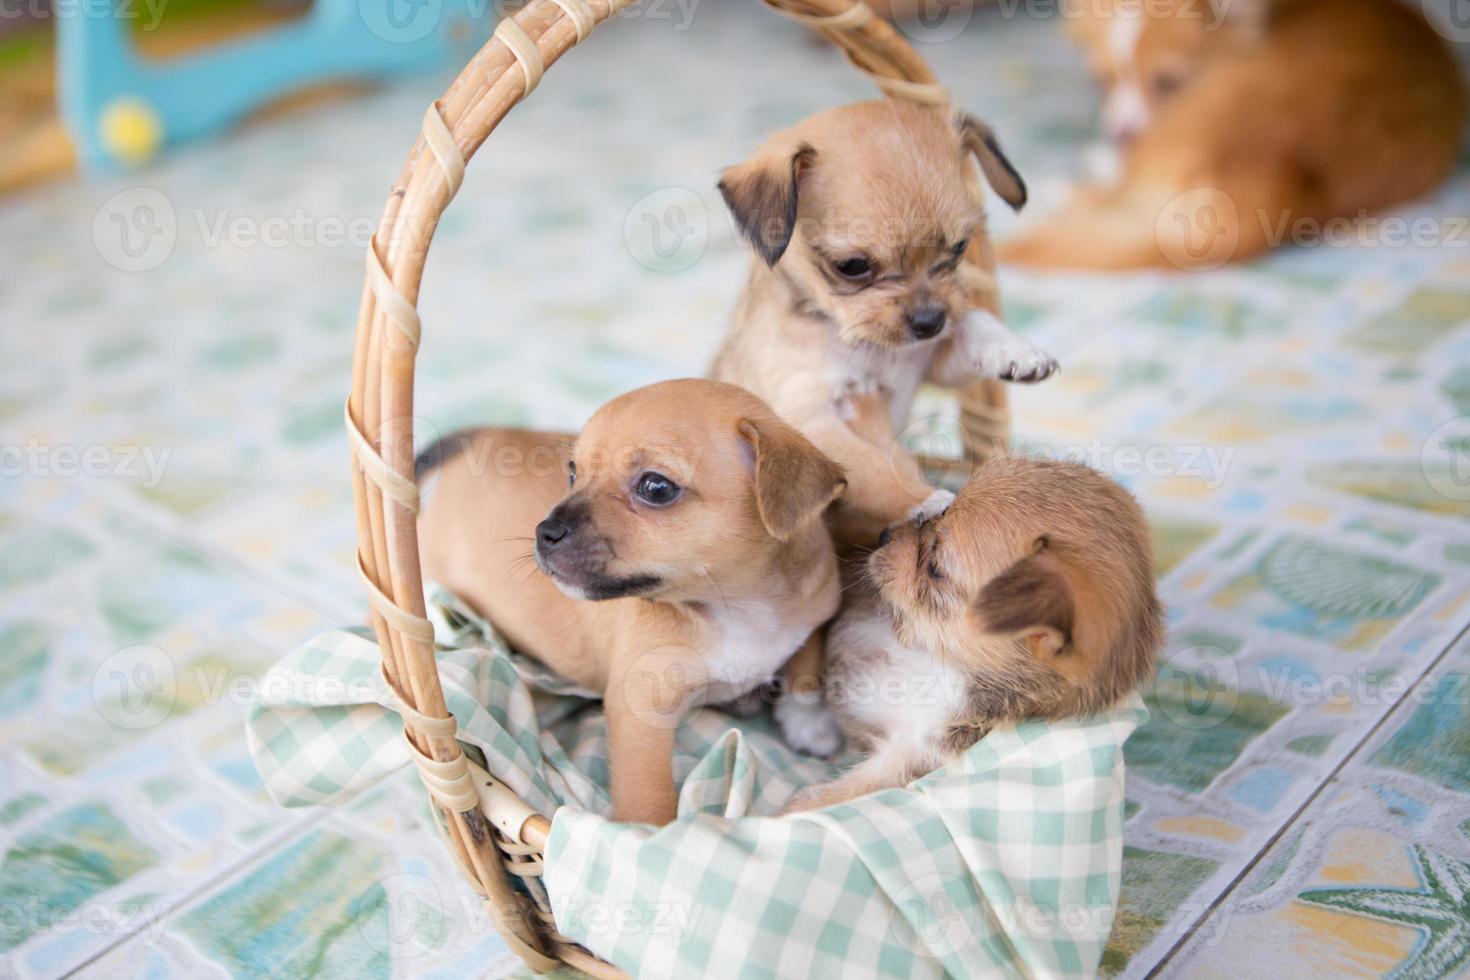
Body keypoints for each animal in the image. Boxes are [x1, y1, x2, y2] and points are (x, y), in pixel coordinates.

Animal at [420, 379, 846, 822]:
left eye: (656, 488)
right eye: (572, 473)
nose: (545, 532)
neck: (736, 606)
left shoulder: (814, 621)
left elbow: (805, 672)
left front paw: (810, 726)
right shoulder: (640, 711)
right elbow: (648, 794)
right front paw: (648, 833)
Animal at [711, 100, 1058, 552]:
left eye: (959, 249)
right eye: (852, 266)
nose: (929, 321)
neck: (864, 345)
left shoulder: (930, 362)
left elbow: (971, 320)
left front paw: (1015, 349)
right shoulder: (811, 418)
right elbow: (874, 466)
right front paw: (924, 500)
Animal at [787, 455, 1164, 816]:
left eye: (935, 568)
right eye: (941, 512)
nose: (884, 535)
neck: (932, 657)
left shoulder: (911, 754)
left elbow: (846, 793)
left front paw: (789, 813)